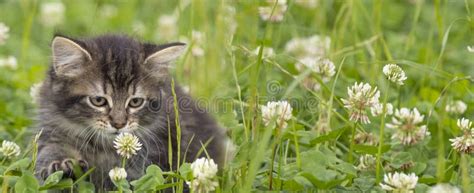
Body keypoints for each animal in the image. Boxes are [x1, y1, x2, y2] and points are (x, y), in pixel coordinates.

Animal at [34, 34, 227, 190]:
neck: (103, 146)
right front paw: (64, 166)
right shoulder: (54, 133)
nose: (119, 124)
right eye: (98, 101)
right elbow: (50, 153)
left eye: (135, 102)